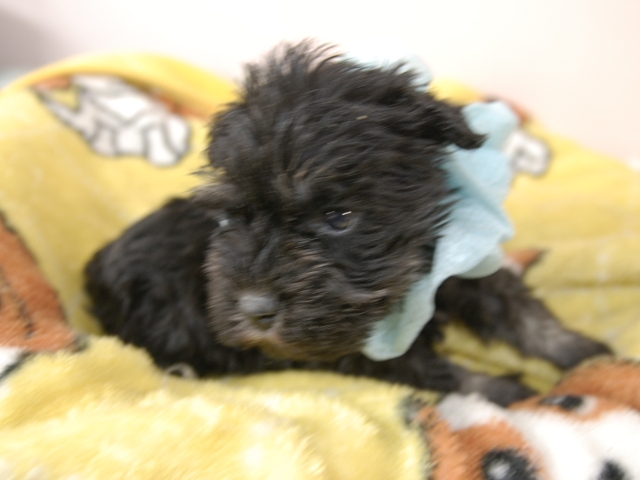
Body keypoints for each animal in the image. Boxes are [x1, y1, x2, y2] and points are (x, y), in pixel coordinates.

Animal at [85, 42, 609, 405]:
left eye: (340, 218)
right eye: (232, 216)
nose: (255, 309)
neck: (407, 279)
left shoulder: (457, 260)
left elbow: (520, 310)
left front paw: (586, 353)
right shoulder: (361, 348)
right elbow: (445, 374)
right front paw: (510, 392)